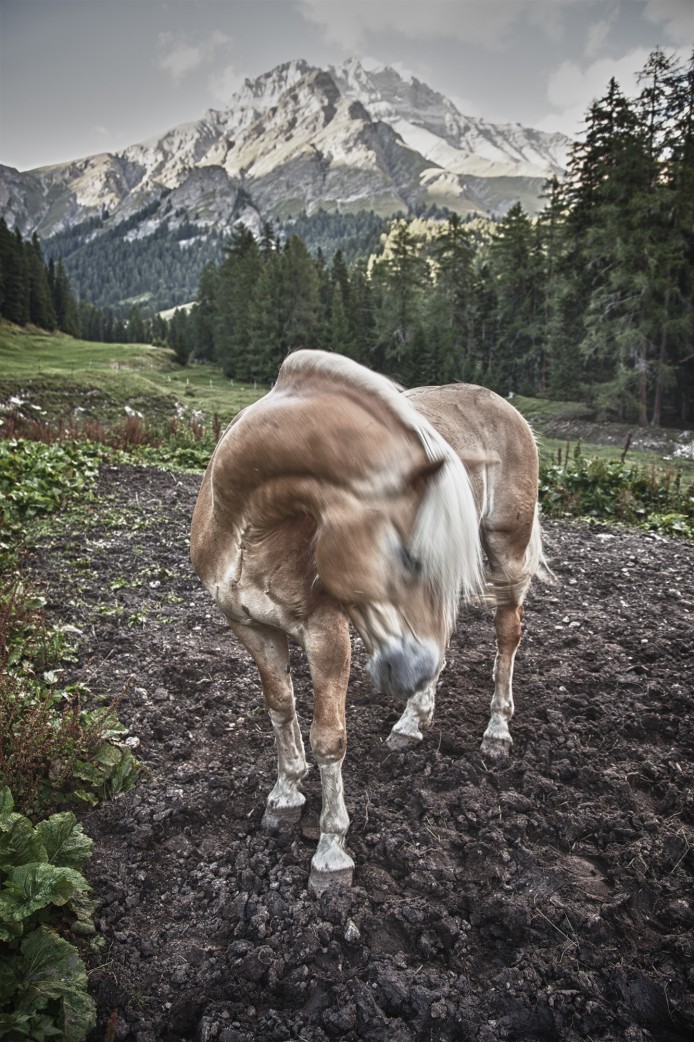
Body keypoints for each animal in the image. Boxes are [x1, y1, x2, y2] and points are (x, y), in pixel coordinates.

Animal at [187, 348, 546, 887]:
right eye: (407, 555)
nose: (410, 671)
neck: (251, 528)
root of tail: (504, 407)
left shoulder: (327, 634)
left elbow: (329, 739)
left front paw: (331, 853)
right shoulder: (250, 628)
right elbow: (280, 708)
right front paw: (285, 796)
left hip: (507, 548)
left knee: (507, 633)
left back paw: (496, 731)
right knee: (444, 638)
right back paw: (411, 722)